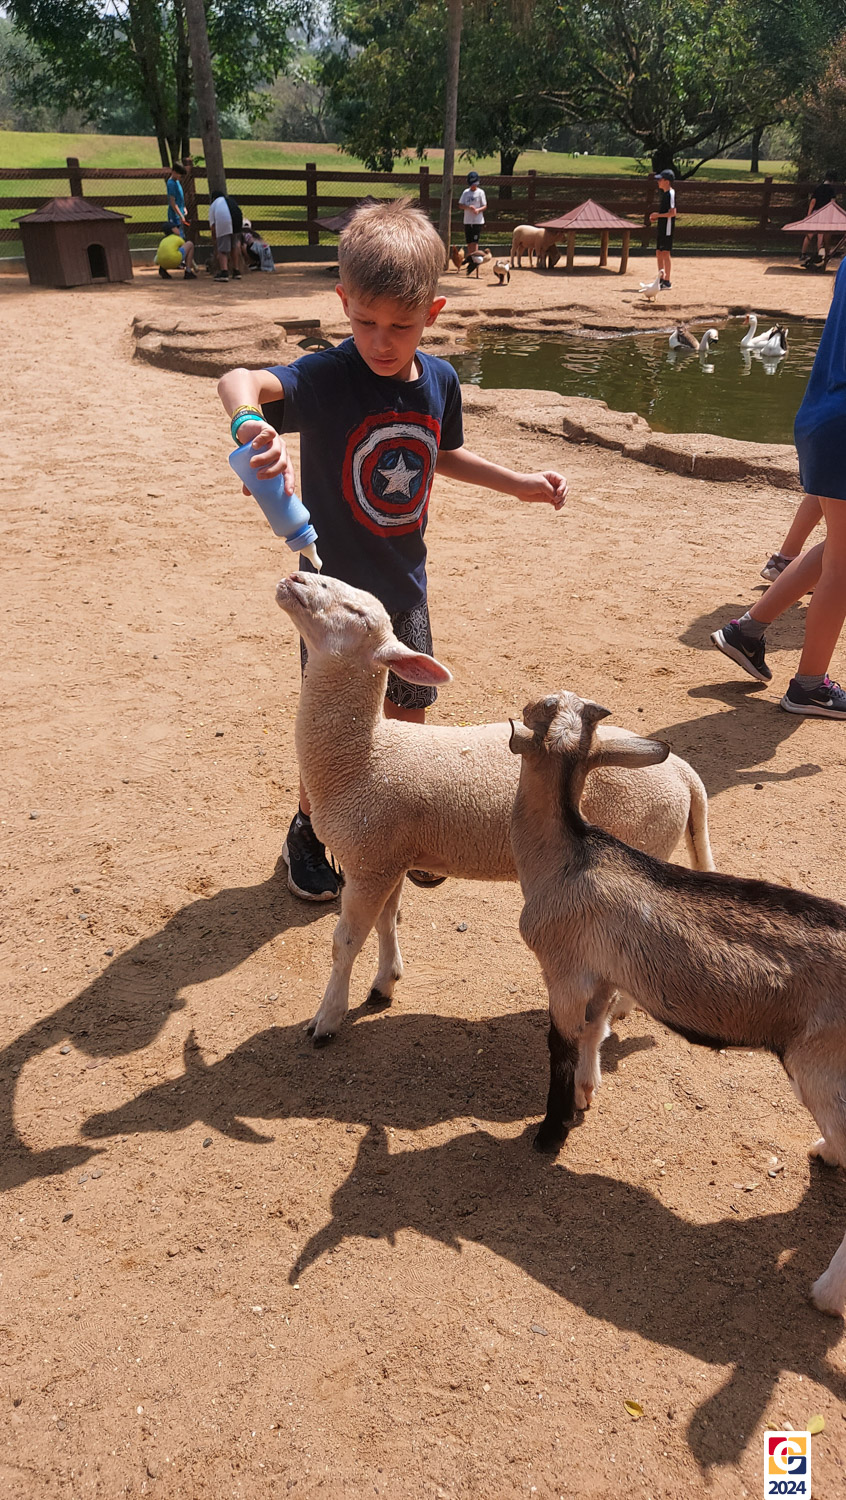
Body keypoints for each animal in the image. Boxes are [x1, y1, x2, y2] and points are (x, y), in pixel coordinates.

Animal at [275, 573, 714, 1047]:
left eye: (357, 613)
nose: (294, 578)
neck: (363, 757)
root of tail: (685, 773)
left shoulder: (368, 862)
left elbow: (345, 943)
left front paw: (327, 1018)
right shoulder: (387, 857)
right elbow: (387, 922)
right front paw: (385, 982)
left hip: (640, 845)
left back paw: (617, 1012)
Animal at [508, 689, 846, 1317]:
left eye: (540, 708)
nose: (527, 700)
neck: (569, 854)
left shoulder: (563, 969)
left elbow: (561, 1043)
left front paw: (551, 1132)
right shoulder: (603, 972)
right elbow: (594, 1030)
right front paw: (587, 1094)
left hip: (822, 1066)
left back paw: (828, 1295)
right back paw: (826, 1155)